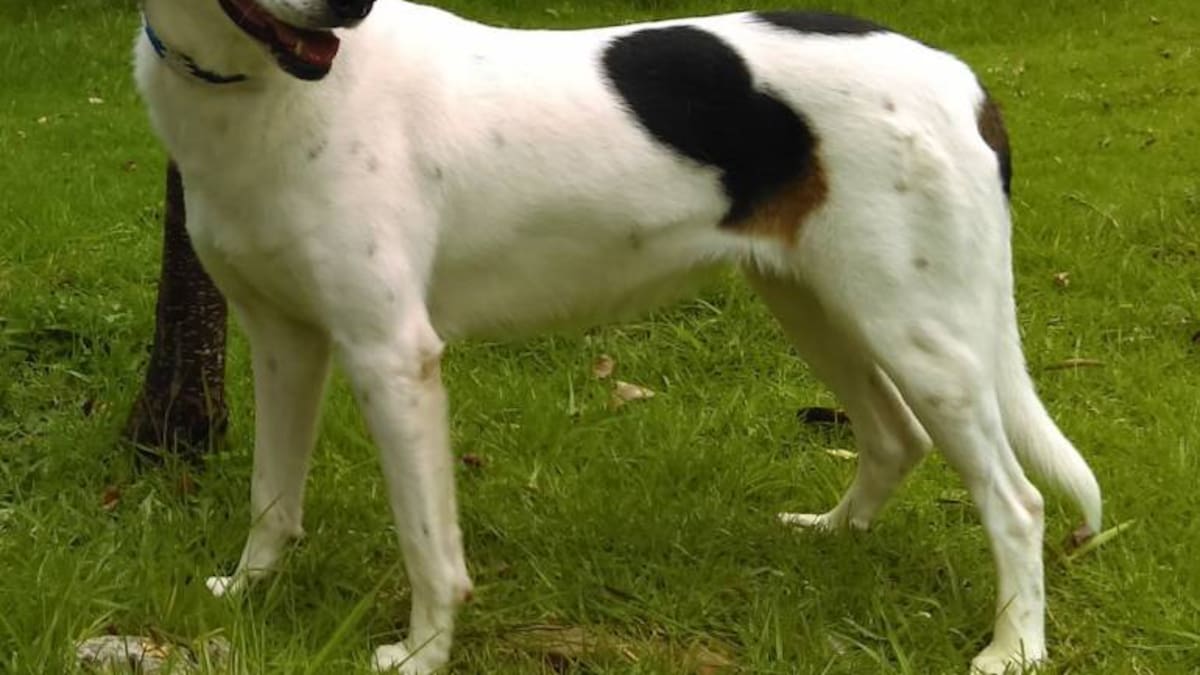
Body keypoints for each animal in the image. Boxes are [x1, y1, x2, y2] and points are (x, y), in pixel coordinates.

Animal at [134, 1, 1103, 672]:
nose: (349, 4)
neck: (258, 88)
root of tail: (958, 75)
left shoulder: (391, 355)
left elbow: (428, 546)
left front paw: (421, 654)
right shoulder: (284, 340)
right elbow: (272, 498)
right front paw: (247, 592)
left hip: (917, 331)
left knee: (1017, 502)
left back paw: (1014, 649)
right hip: (818, 303)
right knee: (894, 436)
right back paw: (832, 533)